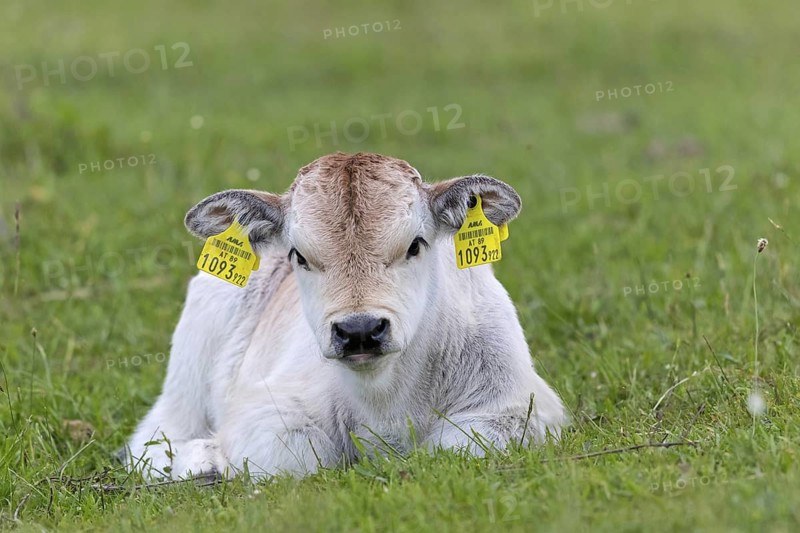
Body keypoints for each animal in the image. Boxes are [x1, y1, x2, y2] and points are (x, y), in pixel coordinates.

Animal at [124, 152, 566, 479]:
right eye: (299, 255)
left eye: (415, 245)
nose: (360, 330)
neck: (385, 400)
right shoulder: (264, 412)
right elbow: (302, 456)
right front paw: (215, 455)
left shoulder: (518, 409)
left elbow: (456, 446)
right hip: (187, 382)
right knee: (151, 442)